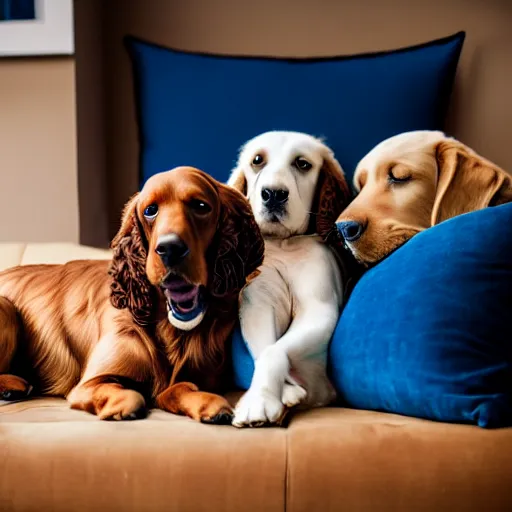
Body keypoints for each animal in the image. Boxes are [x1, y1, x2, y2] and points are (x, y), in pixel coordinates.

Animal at [229, 130, 352, 426]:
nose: (273, 194)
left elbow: (274, 351)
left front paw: (259, 401)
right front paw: (277, 393)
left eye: (302, 164)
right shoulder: (257, 307)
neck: (285, 244)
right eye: (257, 160)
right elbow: (265, 349)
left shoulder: (319, 311)